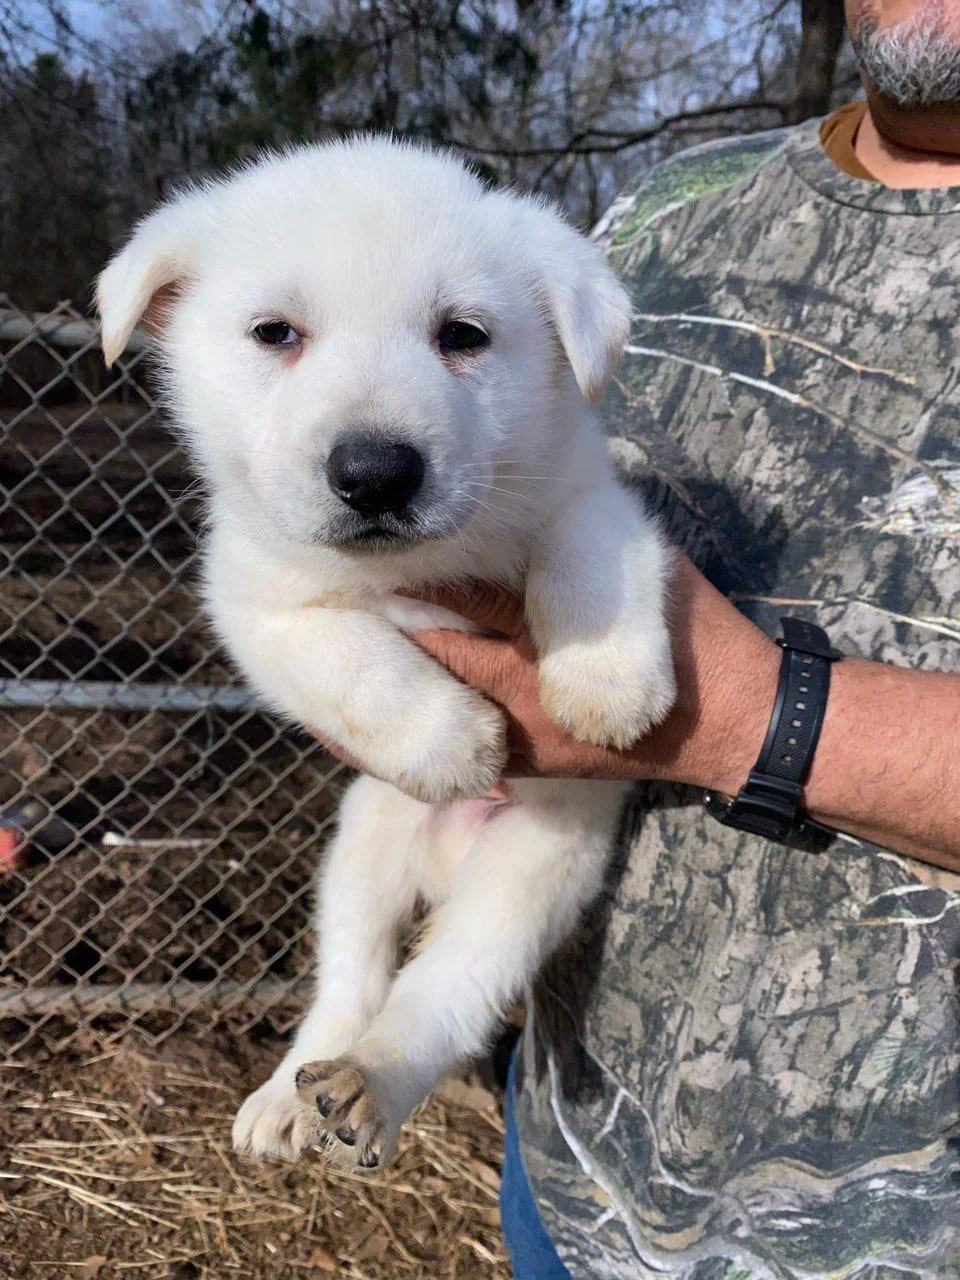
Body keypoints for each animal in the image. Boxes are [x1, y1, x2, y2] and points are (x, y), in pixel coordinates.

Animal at [96, 137, 670, 1172]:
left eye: (465, 335)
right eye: (275, 333)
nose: (374, 474)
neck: (419, 569)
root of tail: (446, 863)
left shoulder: (598, 498)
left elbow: (587, 556)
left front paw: (606, 680)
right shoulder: (255, 600)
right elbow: (353, 658)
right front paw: (453, 740)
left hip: (532, 875)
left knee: (438, 996)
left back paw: (374, 1078)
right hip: (363, 847)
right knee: (351, 983)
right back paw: (297, 1095)